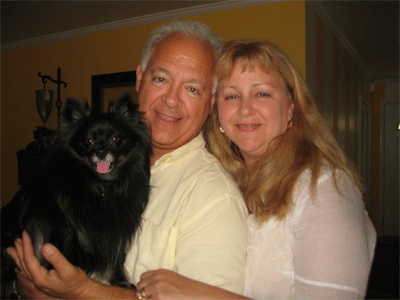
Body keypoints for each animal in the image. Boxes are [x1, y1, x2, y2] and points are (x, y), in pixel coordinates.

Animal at [1, 92, 152, 296]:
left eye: (115, 139)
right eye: (89, 141)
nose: (101, 152)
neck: (101, 186)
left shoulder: (118, 228)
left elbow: (117, 258)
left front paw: (119, 281)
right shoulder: (61, 224)